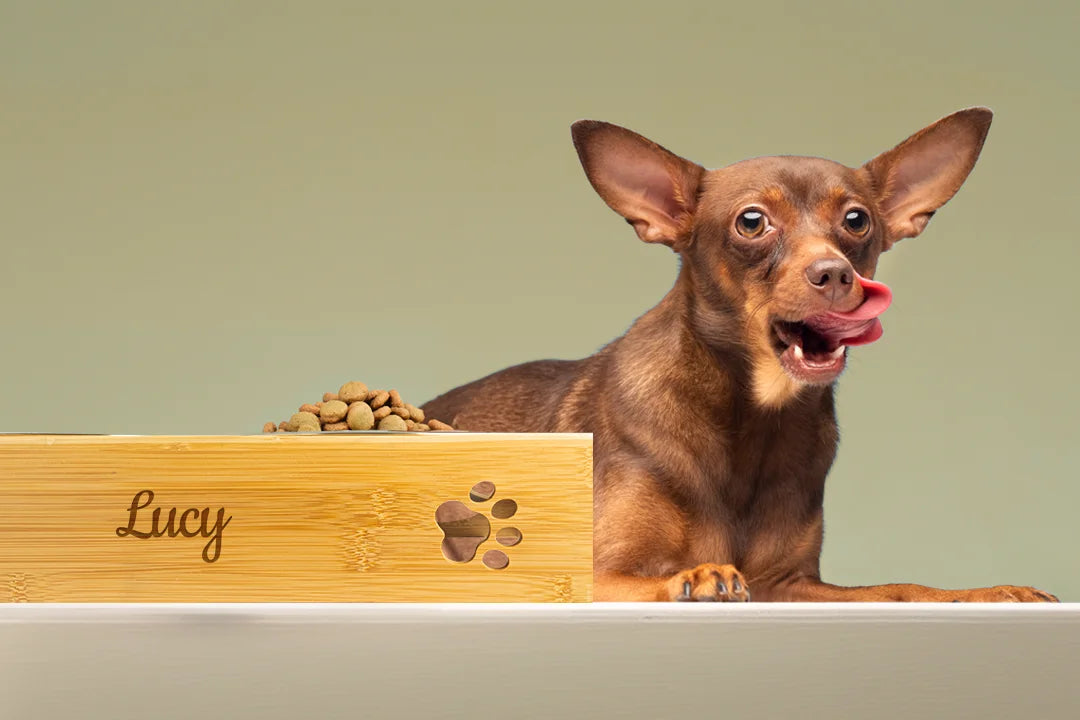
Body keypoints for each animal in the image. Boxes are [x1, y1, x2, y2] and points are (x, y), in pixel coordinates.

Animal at [419, 108, 1054, 604]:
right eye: (752, 222)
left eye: (856, 220)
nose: (834, 273)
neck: (753, 417)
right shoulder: (598, 573)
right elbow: (663, 576)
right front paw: (698, 576)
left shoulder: (789, 585)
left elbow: (901, 588)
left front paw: (990, 591)